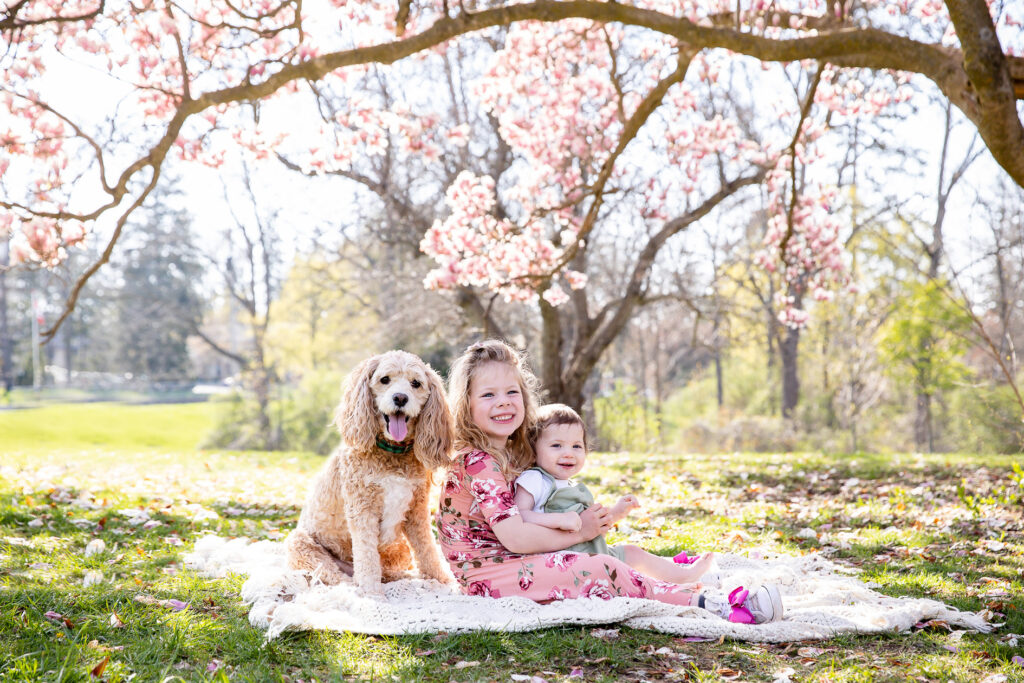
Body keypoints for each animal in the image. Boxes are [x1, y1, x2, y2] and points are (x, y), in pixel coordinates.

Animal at [284, 352, 452, 593]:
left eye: (416, 383)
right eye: (385, 379)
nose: (400, 398)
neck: (392, 452)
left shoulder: (416, 510)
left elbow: (428, 550)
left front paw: (443, 581)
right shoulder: (362, 509)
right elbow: (367, 558)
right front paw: (372, 595)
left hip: (400, 548)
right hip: (300, 543)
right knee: (336, 576)